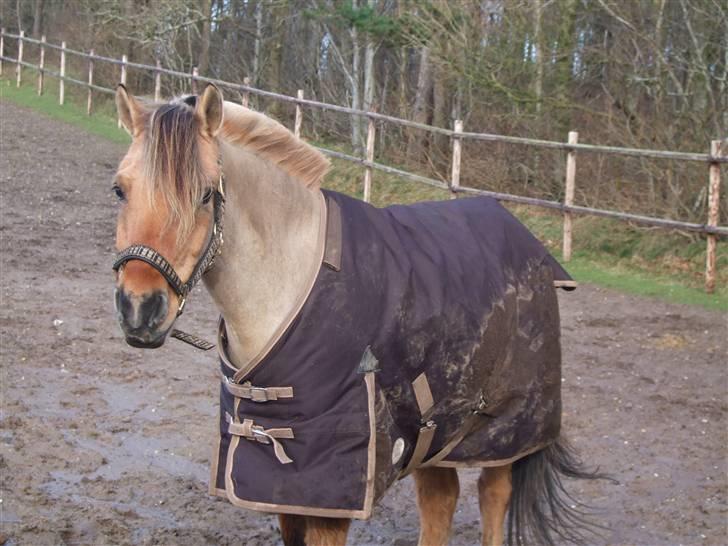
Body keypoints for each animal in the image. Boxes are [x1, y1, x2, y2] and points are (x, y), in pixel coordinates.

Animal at [109, 82, 608, 544]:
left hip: (502, 428)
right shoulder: (282, 485)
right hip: (440, 428)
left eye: (205, 195)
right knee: (440, 497)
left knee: (493, 495)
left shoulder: (331, 492)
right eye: (120, 189)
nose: (140, 308)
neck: (289, 286)